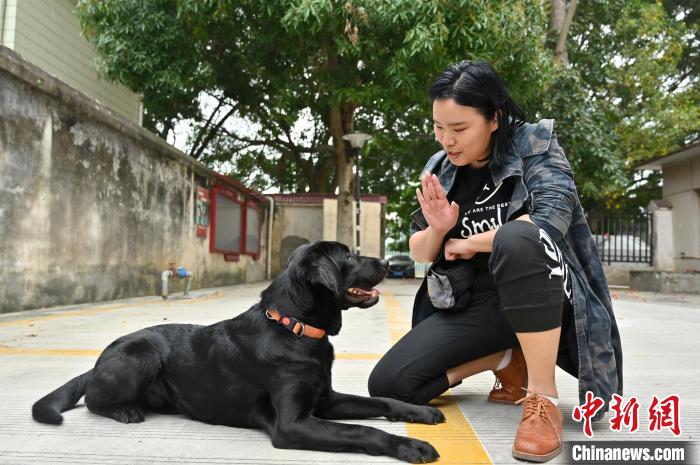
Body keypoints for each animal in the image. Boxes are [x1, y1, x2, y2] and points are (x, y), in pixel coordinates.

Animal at [32, 241, 442, 462]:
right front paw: (410, 445)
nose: (388, 262)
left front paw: (420, 412)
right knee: (94, 398)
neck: (293, 327)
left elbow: (381, 402)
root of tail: (100, 358)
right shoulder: (292, 424)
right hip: (140, 354)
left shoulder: (326, 400)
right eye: (347, 256)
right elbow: (362, 430)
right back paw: (125, 410)